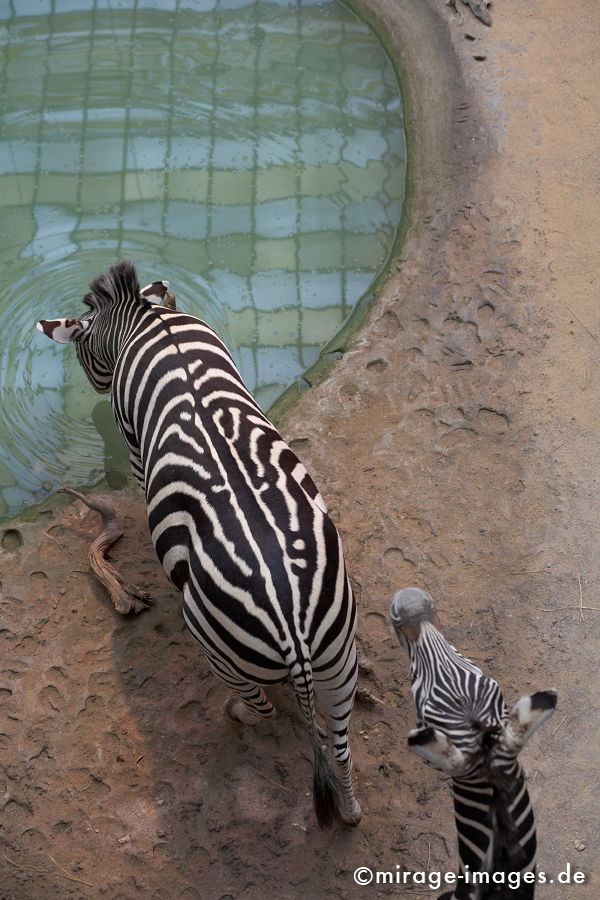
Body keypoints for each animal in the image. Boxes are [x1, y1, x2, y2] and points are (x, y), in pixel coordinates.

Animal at [39, 260, 364, 828]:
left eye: (80, 352)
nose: (93, 383)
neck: (146, 320)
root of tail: (292, 627)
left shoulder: (133, 441)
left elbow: (139, 475)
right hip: (338, 654)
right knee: (341, 746)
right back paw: (349, 811)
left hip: (214, 645)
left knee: (259, 708)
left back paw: (232, 712)